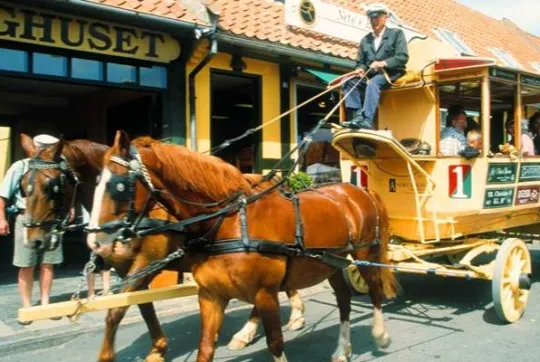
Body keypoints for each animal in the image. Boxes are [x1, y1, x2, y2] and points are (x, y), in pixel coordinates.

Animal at [19, 134, 306, 360]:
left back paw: (269, 324)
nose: (33, 240)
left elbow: (116, 311)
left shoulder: (147, 260)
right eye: (23, 186)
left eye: (52, 185)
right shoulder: (128, 269)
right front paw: (158, 348)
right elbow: (142, 306)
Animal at [88, 132, 398, 362]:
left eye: (118, 186)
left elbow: (275, 344)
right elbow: (205, 349)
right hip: (332, 262)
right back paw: (341, 350)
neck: (229, 221)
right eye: (94, 182)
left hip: (364, 254)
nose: (96, 241)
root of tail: (359, 189)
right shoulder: (211, 296)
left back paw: (380, 335)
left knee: (375, 290)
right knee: (344, 301)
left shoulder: (265, 294)